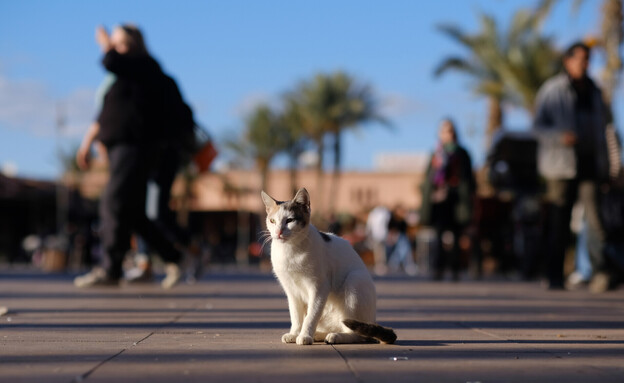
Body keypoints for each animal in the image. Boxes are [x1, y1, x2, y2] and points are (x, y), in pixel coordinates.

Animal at [260, 189, 398, 348]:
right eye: (272, 221)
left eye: (289, 220)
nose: (278, 232)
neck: (290, 251)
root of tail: (372, 320)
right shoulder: (291, 290)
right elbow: (296, 316)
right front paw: (295, 333)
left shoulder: (319, 287)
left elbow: (311, 315)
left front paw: (305, 336)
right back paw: (320, 334)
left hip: (354, 282)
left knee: (359, 335)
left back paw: (335, 336)